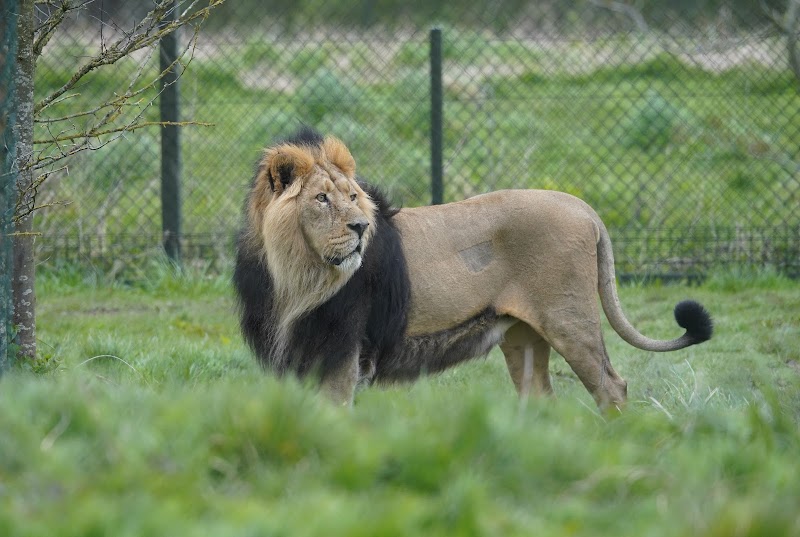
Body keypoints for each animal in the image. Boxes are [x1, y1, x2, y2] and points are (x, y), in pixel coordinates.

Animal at [233, 128, 713, 411]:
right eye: (321, 199)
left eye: (352, 197)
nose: (360, 226)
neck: (291, 277)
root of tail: (582, 206)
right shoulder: (292, 358)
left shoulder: (341, 355)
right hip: (523, 335)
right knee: (539, 398)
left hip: (569, 319)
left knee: (612, 386)